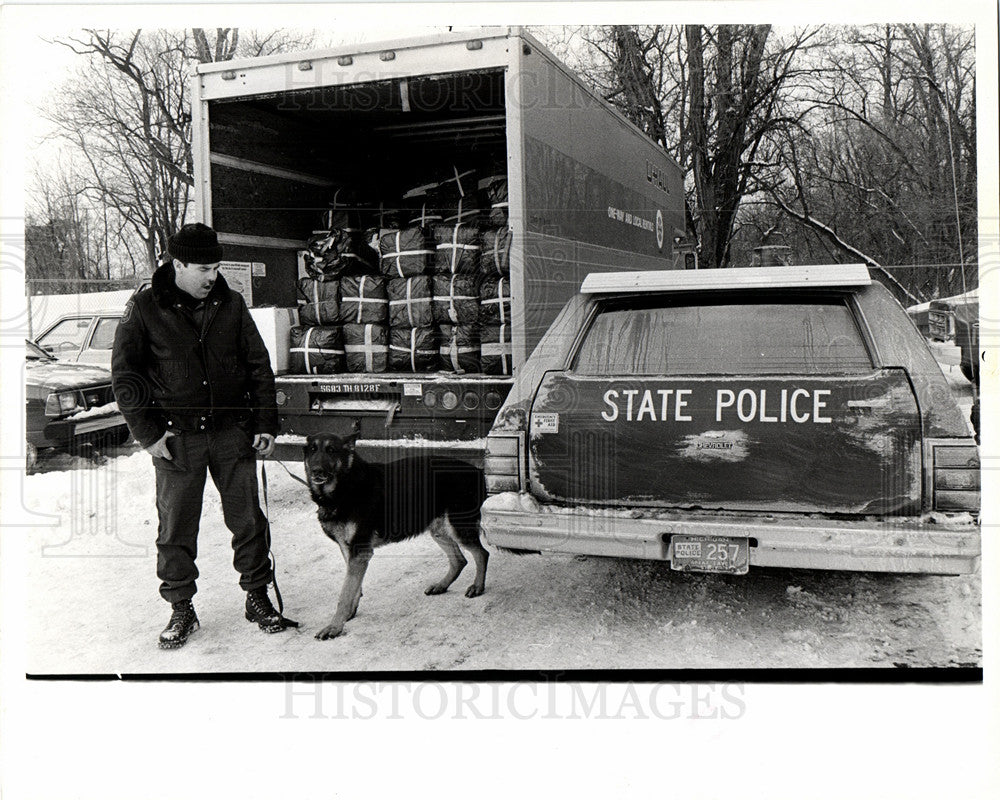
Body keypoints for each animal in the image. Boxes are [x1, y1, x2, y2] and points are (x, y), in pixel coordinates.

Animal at [304, 428, 492, 640]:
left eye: (331, 450)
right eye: (313, 450)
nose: (316, 471)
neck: (345, 485)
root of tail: (478, 472)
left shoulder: (359, 551)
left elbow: (345, 593)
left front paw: (335, 626)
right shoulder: (349, 550)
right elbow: (354, 587)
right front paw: (350, 613)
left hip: (458, 527)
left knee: (481, 554)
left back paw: (477, 586)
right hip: (439, 530)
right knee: (460, 560)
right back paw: (442, 585)